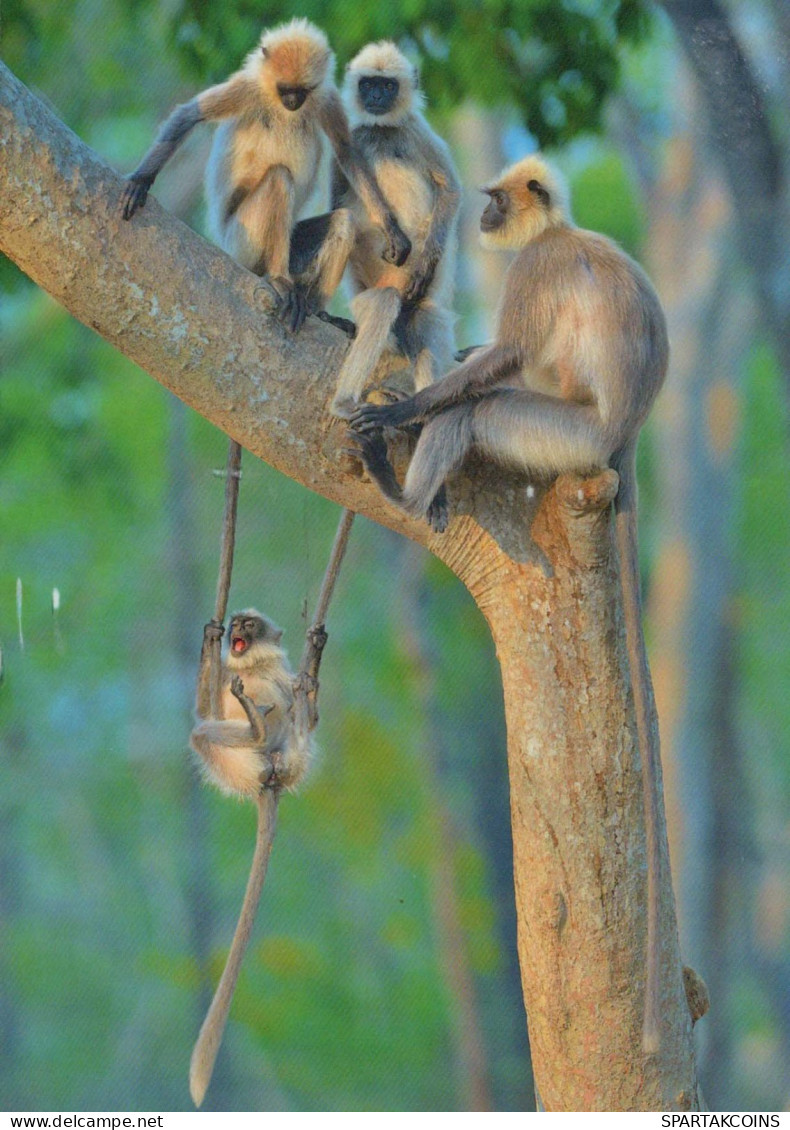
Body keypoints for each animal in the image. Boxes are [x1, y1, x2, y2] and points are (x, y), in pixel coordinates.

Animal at [122, 18, 413, 329]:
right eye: (284, 89)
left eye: (302, 91)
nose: (292, 101)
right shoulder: (248, 87)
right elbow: (189, 115)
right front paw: (141, 180)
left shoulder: (325, 96)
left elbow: (346, 151)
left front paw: (392, 229)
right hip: (242, 241)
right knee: (279, 179)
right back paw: (277, 279)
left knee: (344, 221)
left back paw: (316, 309)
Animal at [330, 39, 463, 422]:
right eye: (369, 84)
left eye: (388, 86)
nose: (376, 97)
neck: (382, 131)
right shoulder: (354, 138)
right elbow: (336, 207)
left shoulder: (417, 131)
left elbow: (450, 191)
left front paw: (423, 264)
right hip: (372, 295)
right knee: (383, 304)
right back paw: (345, 401)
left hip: (420, 301)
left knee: (425, 326)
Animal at [348, 154, 669, 1053]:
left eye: (495, 202)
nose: (486, 217)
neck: (559, 231)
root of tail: (622, 441)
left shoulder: (536, 268)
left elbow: (509, 358)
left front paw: (401, 410)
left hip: (564, 438)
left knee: (486, 407)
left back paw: (405, 488)